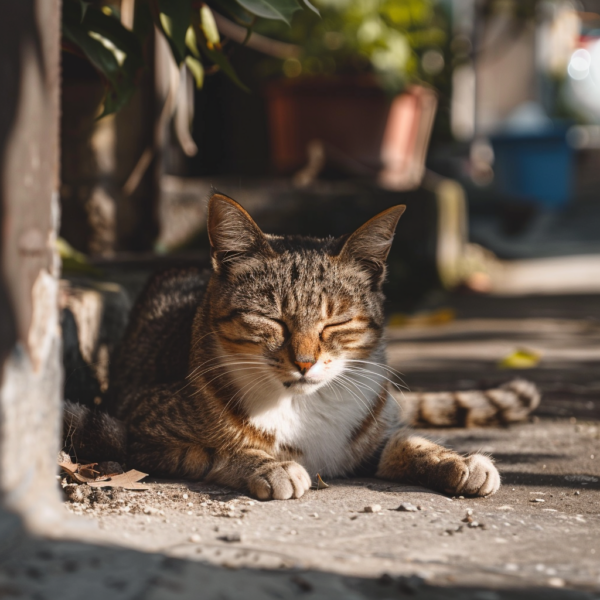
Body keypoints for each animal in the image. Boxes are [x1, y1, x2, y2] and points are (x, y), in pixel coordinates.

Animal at [64, 191, 540, 496]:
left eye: (336, 322)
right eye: (271, 319)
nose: (306, 362)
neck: (305, 406)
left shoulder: (375, 438)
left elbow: (408, 443)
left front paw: (457, 461)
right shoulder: (141, 431)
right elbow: (217, 450)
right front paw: (269, 465)